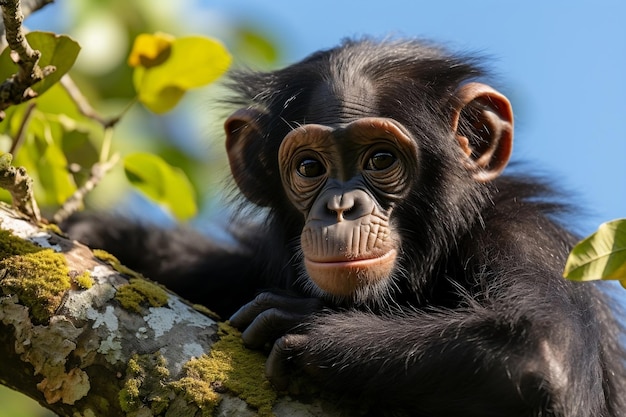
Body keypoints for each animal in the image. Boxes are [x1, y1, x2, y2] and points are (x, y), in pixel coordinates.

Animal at [63, 39, 624, 416]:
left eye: (381, 159)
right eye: (310, 167)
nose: (340, 206)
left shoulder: (526, 238)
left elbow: (540, 351)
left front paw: (305, 321)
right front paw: (106, 234)